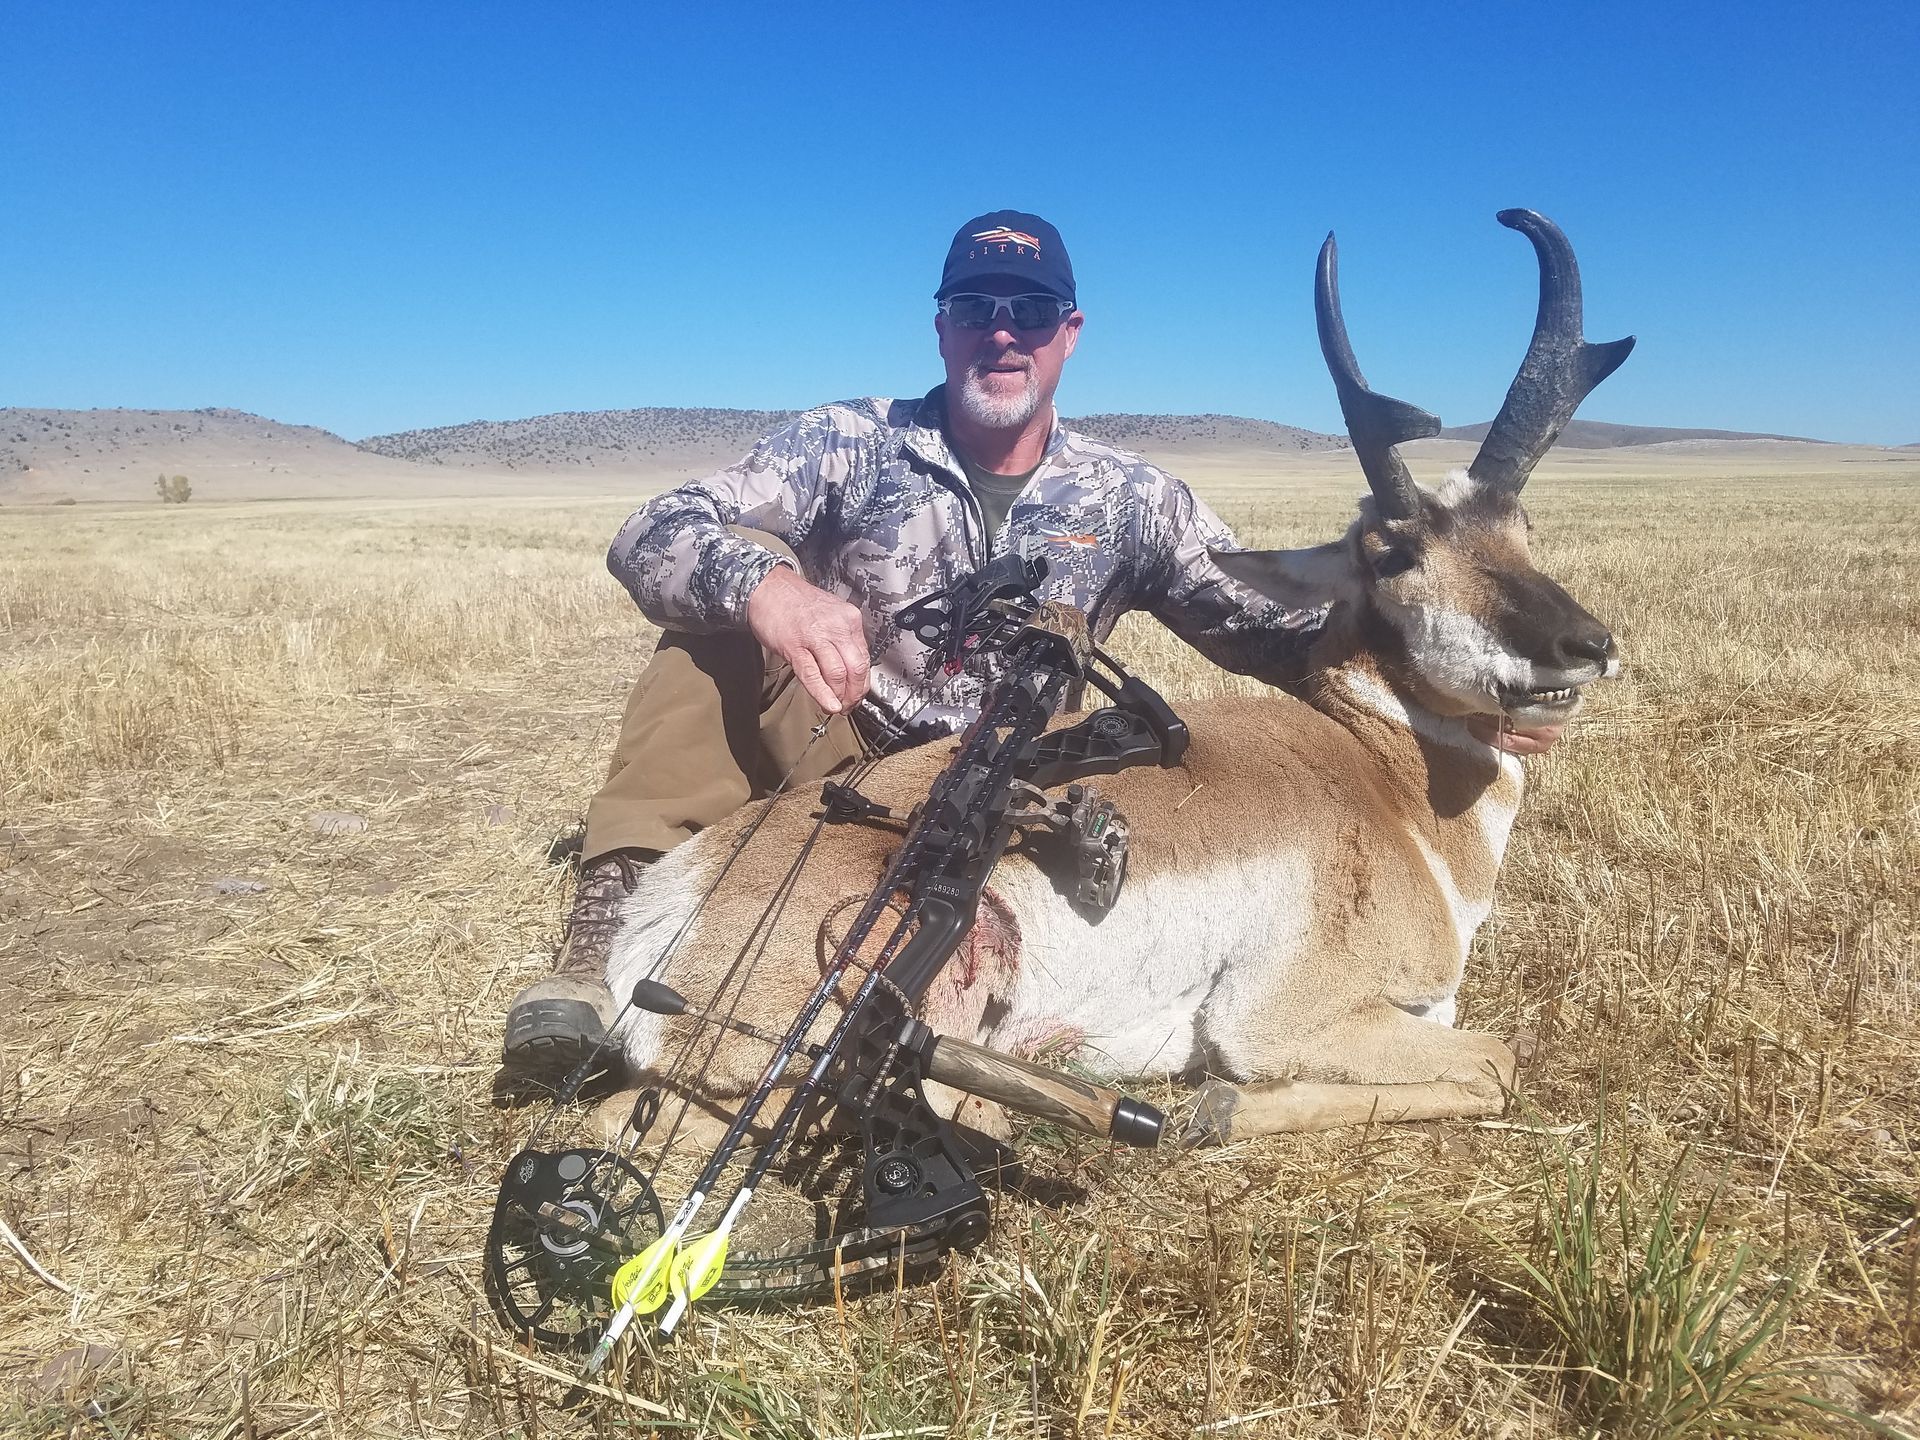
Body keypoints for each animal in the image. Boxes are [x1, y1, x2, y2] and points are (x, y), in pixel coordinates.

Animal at [602, 209, 1633, 1145]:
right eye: (1393, 553)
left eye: (1524, 528)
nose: (1587, 646)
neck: (1384, 777)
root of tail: (673, 901)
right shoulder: (1285, 1021)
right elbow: (1497, 1063)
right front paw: (1221, 1109)